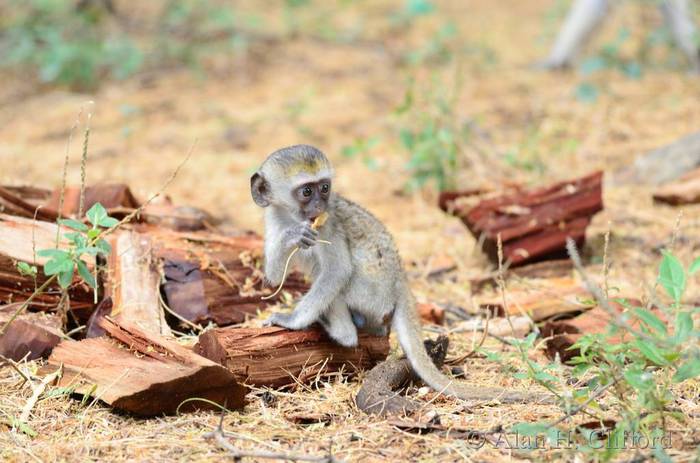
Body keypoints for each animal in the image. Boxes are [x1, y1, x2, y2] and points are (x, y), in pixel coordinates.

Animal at [251, 144, 551, 404]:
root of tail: (401, 282)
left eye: (324, 188)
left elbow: (338, 271)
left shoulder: (328, 225)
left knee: (338, 285)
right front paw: (291, 238)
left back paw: (338, 329)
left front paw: (292, 321)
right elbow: (274, 277)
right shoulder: (274, 219)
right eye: (306, 192)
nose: (318, 207)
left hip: (371, 293)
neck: (292, 216)